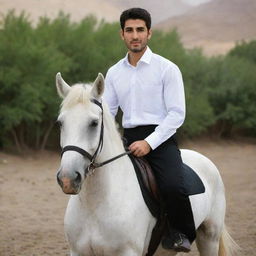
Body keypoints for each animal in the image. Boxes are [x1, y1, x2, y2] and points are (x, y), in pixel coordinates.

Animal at [55, 72, 237, 256]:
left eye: (94, 123)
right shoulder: (77, 251)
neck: (96, 205)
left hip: (209, 237)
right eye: (60, 123)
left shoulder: (128, 251)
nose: (68, 179)